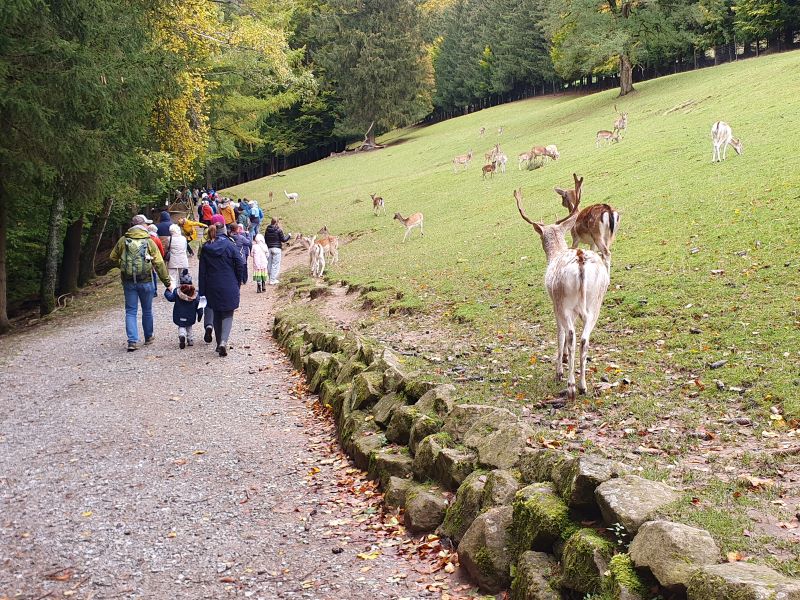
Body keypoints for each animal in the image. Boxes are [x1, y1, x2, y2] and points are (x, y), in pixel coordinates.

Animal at [516, 188, 608, 400]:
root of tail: (581, 259)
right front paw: (564, 361)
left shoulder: (555, 304)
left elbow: (560, 334)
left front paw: (558, 370)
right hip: (595, 303)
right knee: (584, 339)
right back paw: (583, 385)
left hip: (564, 301)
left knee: (572, 335)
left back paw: (571, 386)